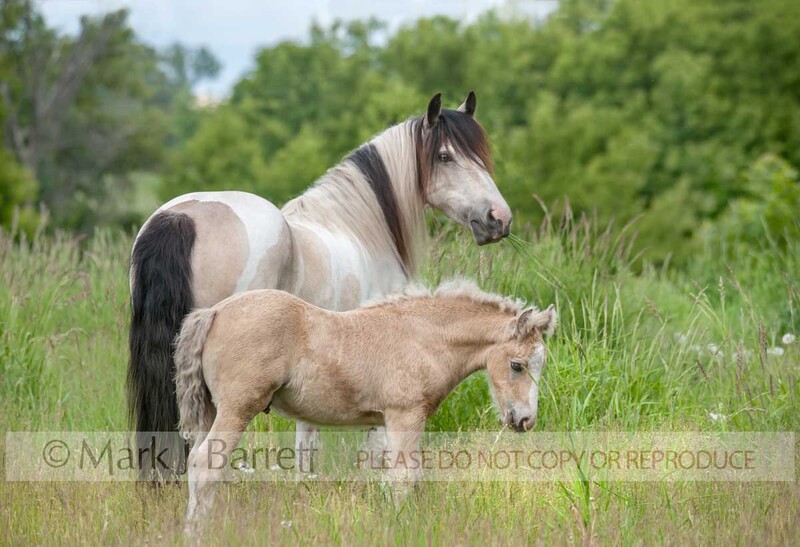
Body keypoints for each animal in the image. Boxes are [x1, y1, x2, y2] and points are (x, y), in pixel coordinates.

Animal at [174, 279, 557, 525]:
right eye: (517, 365)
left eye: (541, 364)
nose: (525, 420)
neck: (423, 339)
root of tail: (214, 311)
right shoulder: (406, 415)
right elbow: (403, 477)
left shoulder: (384, 423)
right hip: (237, 409)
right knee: (205, 464)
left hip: (212, 410)